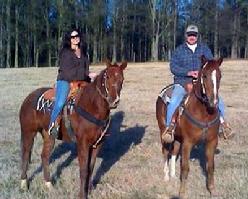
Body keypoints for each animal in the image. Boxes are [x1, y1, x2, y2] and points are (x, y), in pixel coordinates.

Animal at [19, 61, 127, 198]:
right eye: (107, 77)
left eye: (122, 79)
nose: (114, 100)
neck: (92, 106)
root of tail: (28, 98)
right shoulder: (83, 144)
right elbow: (83, 170)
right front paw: (82, 195)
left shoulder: (97, 145)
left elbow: (91, 168)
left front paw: (89, 190)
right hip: (28, 133)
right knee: (26, 155)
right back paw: (23, 184)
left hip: (49, 136)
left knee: (44, 156)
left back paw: (49, 184)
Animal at [155, 56, 223, 197]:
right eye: (204, 75)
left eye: (219, 76)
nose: (213, 102)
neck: (204, 113)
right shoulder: (188, 142)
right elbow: (185, 167)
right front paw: (182, 192)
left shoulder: (212, 142)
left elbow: (210, 167)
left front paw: (212, 190)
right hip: (163, 131)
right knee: (165, 152)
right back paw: (166, 176)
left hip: (177, 137)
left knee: (174, 151)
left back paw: (173, 175)